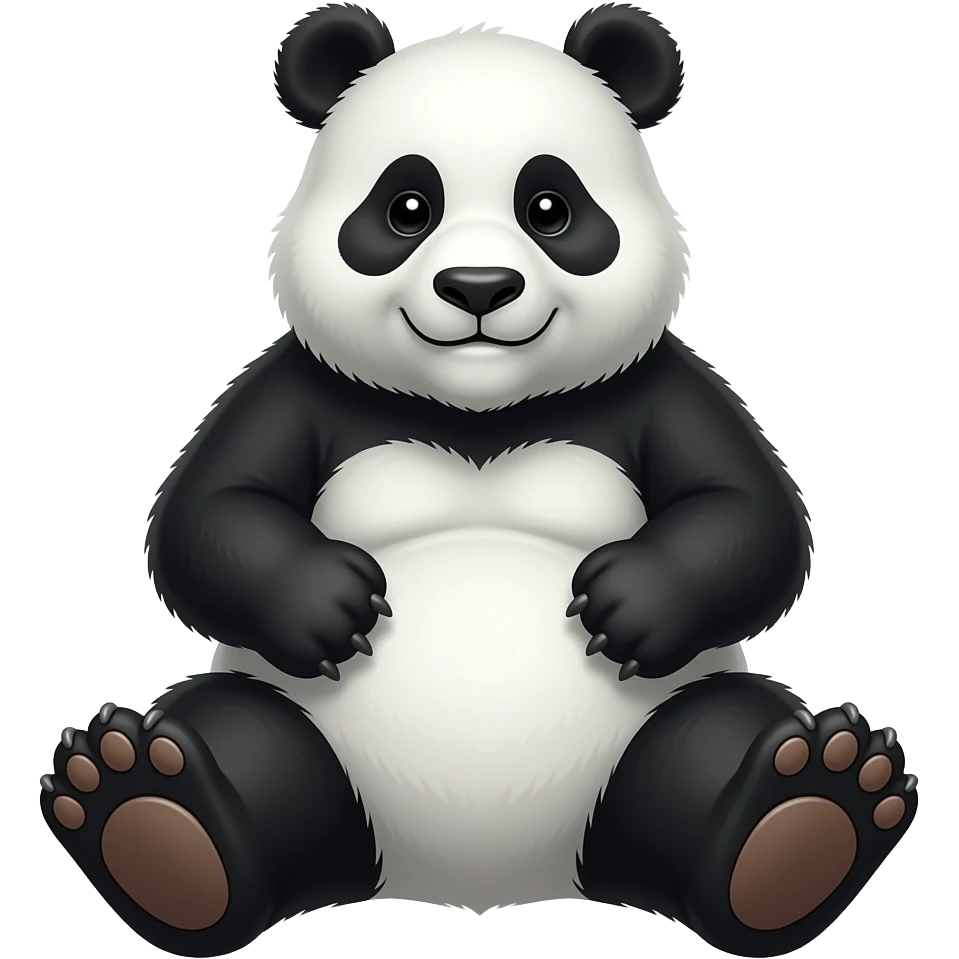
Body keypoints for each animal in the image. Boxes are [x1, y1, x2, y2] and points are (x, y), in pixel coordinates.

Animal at [38, 3, 918, 957]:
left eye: (550, 207)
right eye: (406, 207)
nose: (478, 287)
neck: (479, 411)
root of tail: (480, 875)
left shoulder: (658, 384)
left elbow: (750, 518)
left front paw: (629, 600)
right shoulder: (298, 384)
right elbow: (207, 519)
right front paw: (326, 600)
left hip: (648, 736)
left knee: (710, 743)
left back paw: (809, 806)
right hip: (309, 736)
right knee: (247, 743)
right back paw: (148, 807)